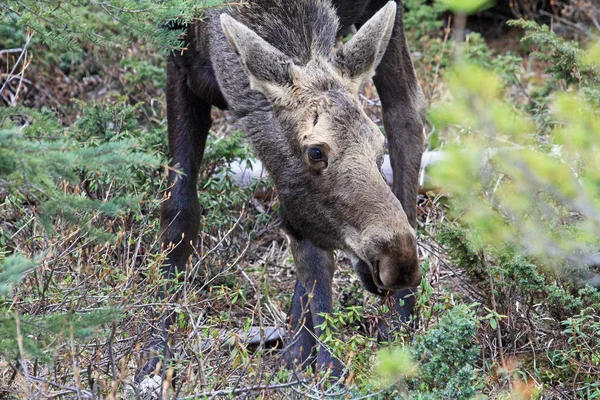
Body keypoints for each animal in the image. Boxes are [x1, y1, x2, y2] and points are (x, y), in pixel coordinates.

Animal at [149, 0, 426, 382]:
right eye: (316, 152)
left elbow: (315, 256)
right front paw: (153, 359)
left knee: (406, 113)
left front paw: (329, 369)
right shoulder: (178, 57)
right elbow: (179, 213)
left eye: (376, 147)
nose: (399, 260)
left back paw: (396, 318)